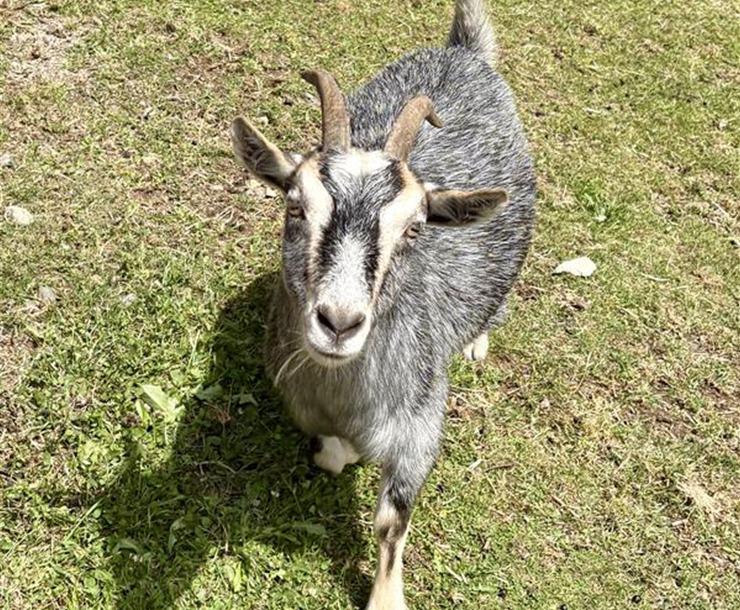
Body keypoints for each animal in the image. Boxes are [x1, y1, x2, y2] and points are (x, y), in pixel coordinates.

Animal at [230, 0, 535, 607]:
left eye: (414, 228)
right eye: (294, 205)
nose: (339, 322)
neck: (345, 398)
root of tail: (464, 52)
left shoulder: (420, 426)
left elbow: (391, 521)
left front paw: (386, 596)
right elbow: (331, 453)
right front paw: (342, 455)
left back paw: (478, 341)